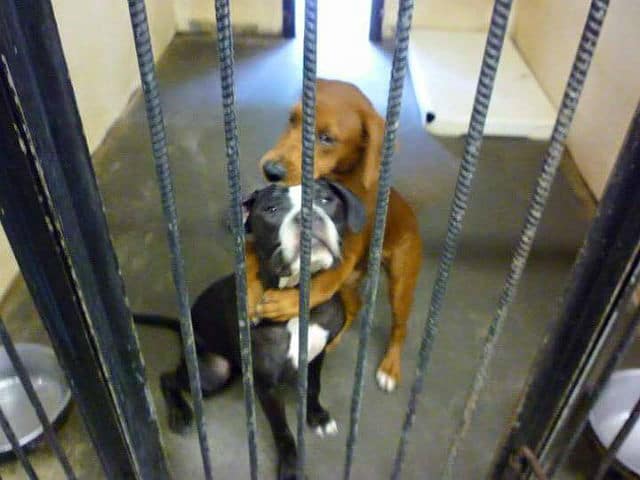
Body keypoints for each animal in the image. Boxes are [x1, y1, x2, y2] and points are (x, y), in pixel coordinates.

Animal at [135, 179, 364, 480]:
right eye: (271, 209)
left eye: (326, 199)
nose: (308, 214)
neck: (294, 301)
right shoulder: (266, 387)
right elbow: (282, 431)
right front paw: (291, 468)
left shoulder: (317, 355)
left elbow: (314, 387)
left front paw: (317, 416)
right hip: (213, 372)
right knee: (168, 378)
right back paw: (179, 413)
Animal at [244, 79, 420, 392]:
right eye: (292, 119)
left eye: (326, 138)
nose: (270, 170)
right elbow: (250, 252)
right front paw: (251, 293)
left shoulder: (343, 254)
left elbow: (320, 286)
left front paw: (285, 303)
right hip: (351, 283)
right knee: (355, 306)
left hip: (400, 280)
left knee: (400, 327)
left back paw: (390, 367)